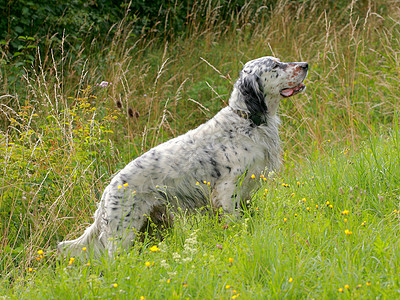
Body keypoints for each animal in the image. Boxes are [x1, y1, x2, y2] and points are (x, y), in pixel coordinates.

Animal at [58, 55, 310, 255]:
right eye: (275, 65)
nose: (306, 64)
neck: (247, 119)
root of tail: (107, 192)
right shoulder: (227, 189)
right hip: (122, 232)